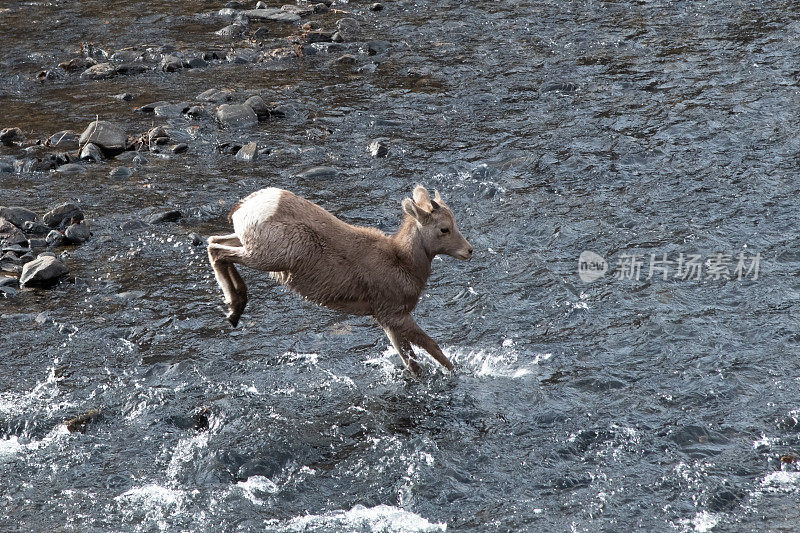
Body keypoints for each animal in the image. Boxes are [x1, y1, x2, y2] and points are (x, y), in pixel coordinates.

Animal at [208, 185, 476, 372]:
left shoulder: (387, 322)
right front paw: (456, 374)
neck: (401, 261)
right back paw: (235, 308)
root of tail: (244, 207)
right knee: (218, 251)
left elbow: (411, 363)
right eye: (444, 229)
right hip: (268, 257)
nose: (469, 251)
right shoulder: (396, 317)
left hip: (247, 244)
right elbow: (433, 347)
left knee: (214, 242)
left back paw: (234, 311)